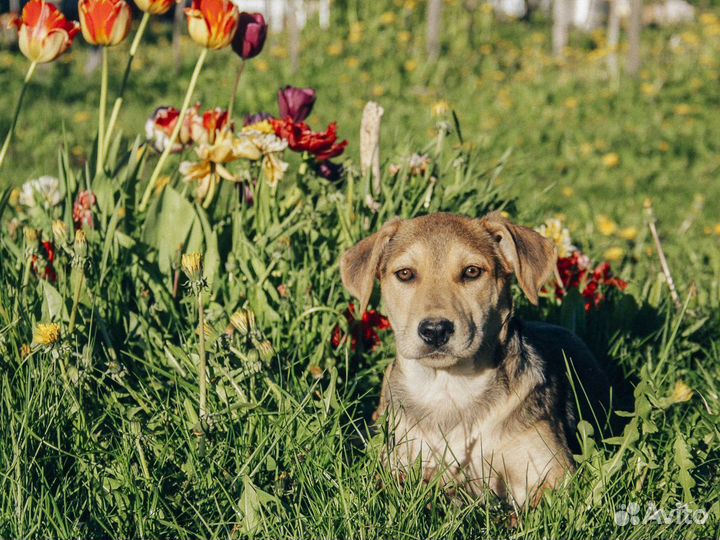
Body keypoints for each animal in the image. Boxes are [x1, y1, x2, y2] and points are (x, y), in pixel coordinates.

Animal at [340, 213, 612, 508]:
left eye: (472, 272)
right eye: (404, 274)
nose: (435, 330)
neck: (449, 388)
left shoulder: (555, 473)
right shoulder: (396, 464)